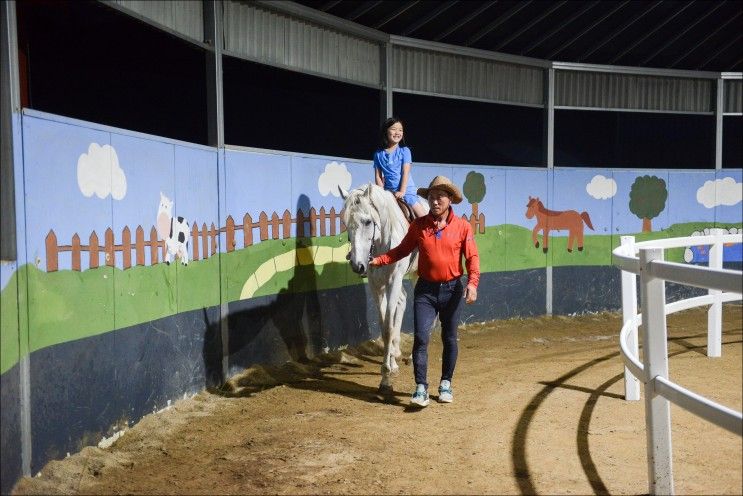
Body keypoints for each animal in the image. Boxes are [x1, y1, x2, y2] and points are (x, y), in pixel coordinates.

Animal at [342, 182, 428, 396]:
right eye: (346, 223)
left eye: (367, 221)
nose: (357, 265)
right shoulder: (376, 285)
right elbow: (384, 327)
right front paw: (390, 367)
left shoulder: (394, 280)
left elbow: (388, 326)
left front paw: (386, 377)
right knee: (403, 300)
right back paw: (396, 354)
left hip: (417, 275)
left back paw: (412, 357)